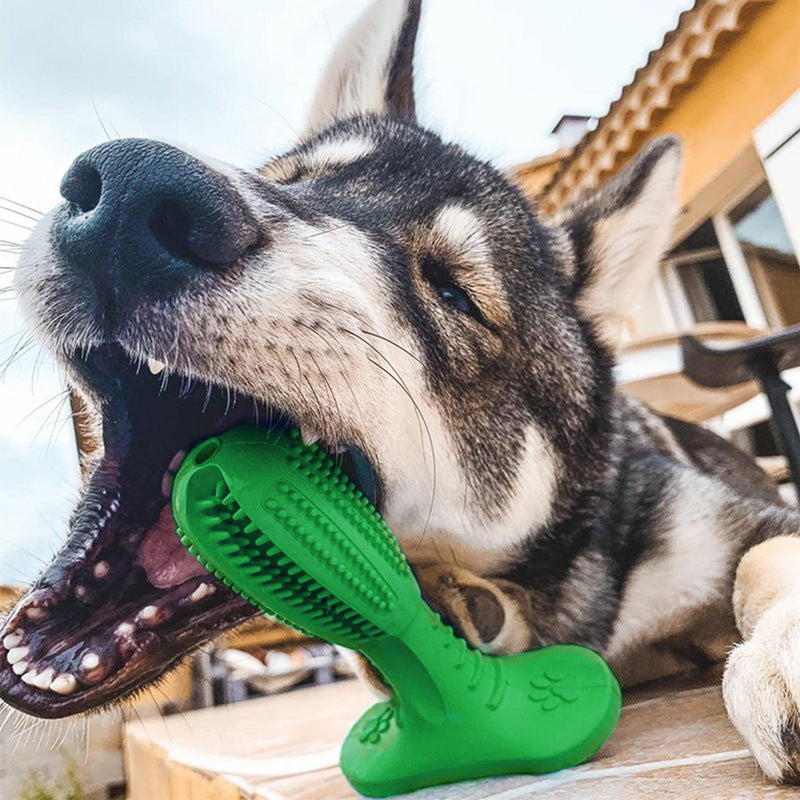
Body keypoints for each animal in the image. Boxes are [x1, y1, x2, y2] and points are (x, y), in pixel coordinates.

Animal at [4, 0, 800, 788]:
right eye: (287, 181)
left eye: (453, 293)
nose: (132, 191)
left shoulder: (738, 524)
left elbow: (761, 559)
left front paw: (783, 648)